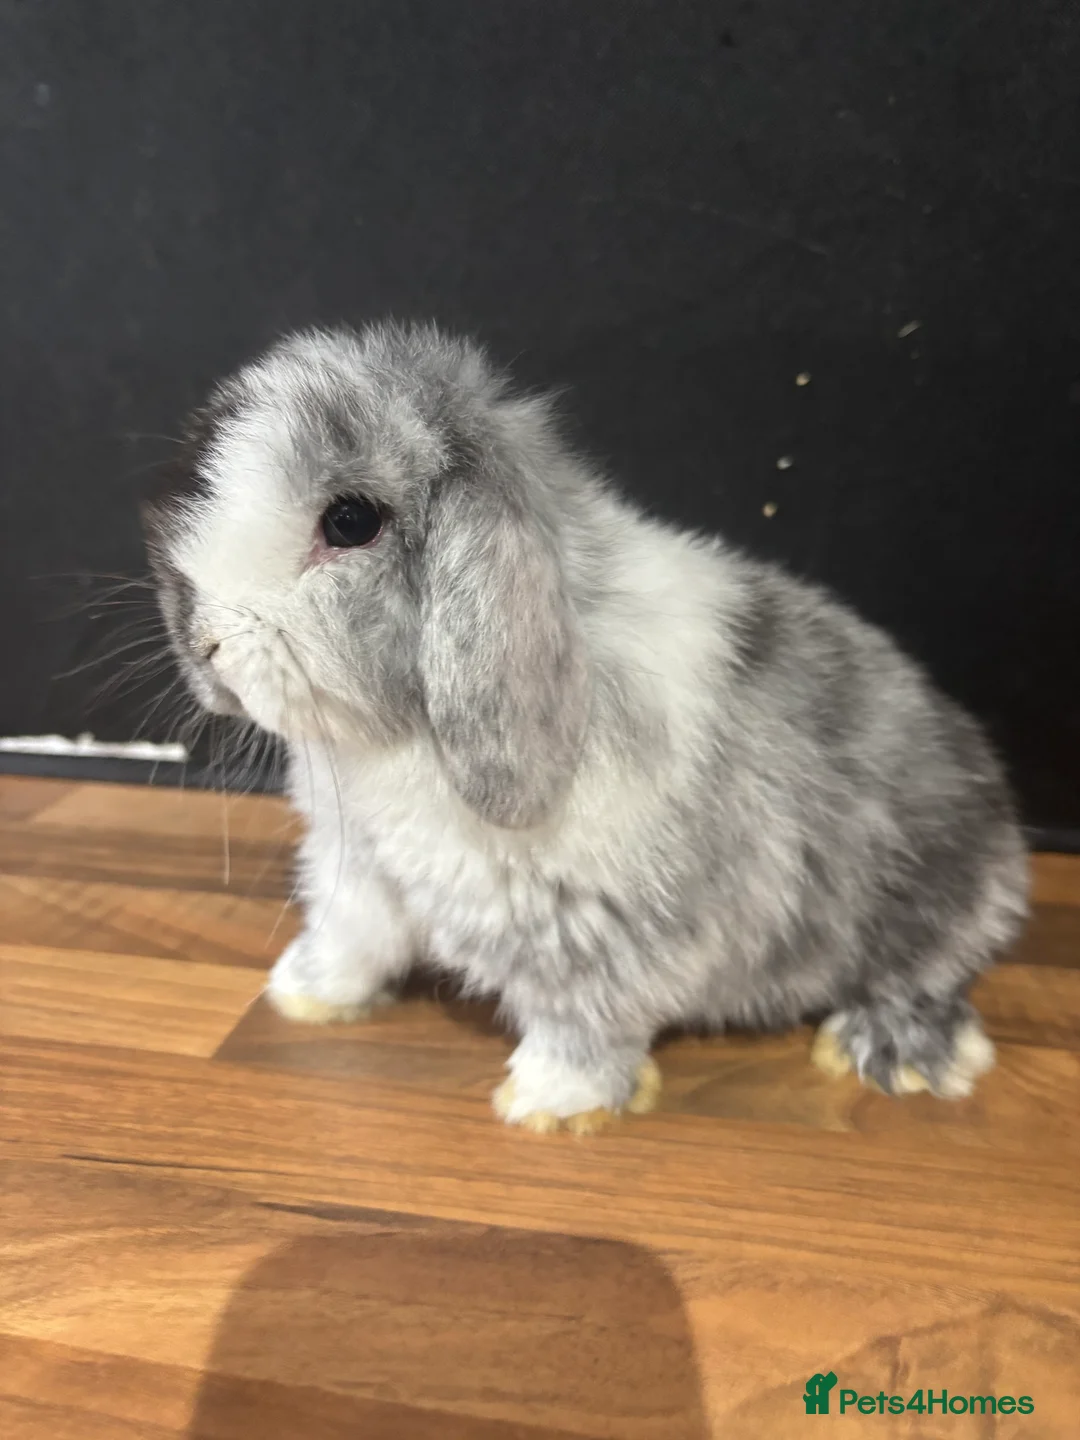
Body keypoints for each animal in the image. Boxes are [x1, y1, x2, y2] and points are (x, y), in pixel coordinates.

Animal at [144, 322, 1028, 1133]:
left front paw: (547, 1104)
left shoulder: (597, 938)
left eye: (352, 521)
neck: (399, 742)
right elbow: (350, 941)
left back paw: (888, 1052)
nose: (205, 640)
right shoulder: (358, 870)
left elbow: (583, 1023)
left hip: (918, 906)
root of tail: (1002, 828)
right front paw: (303, 993)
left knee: (927, 978)